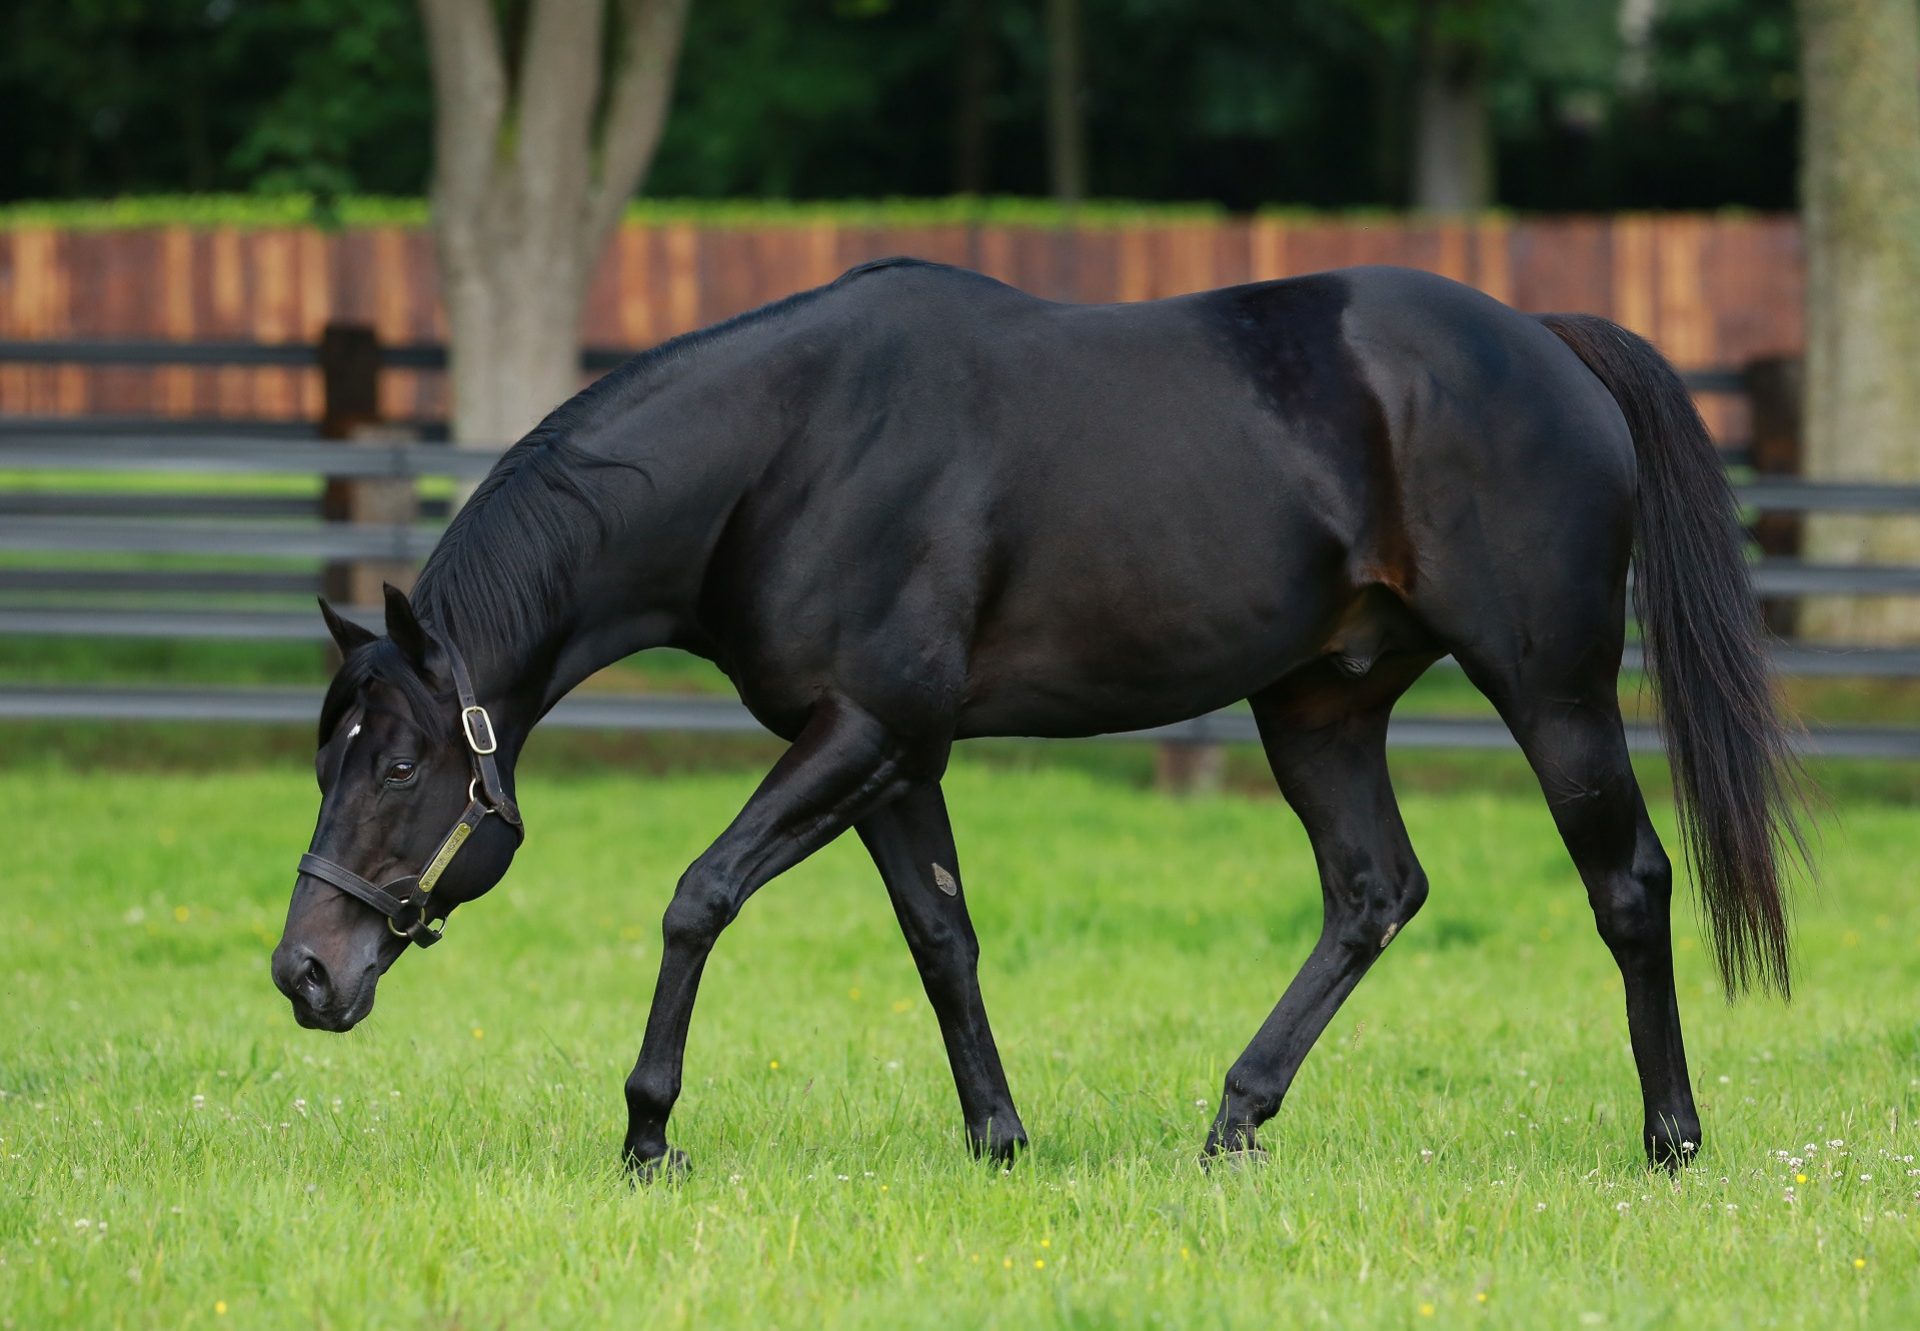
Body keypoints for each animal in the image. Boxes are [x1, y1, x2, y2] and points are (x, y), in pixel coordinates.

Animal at [270, 259, 1797, 1175]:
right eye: (325, 756)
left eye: (399, 762)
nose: (303, 972)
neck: (791, 450)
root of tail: (1549, 344)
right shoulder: (894, 756)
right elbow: (942, 937)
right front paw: (998, 1135)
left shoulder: (860, 729)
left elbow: (700, 893)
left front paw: (649, 1130)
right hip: (1318, 702)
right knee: (1374, 890)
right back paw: (1235, 1117)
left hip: (1551, 687)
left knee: (1629, 881)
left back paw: (1672, 1139)